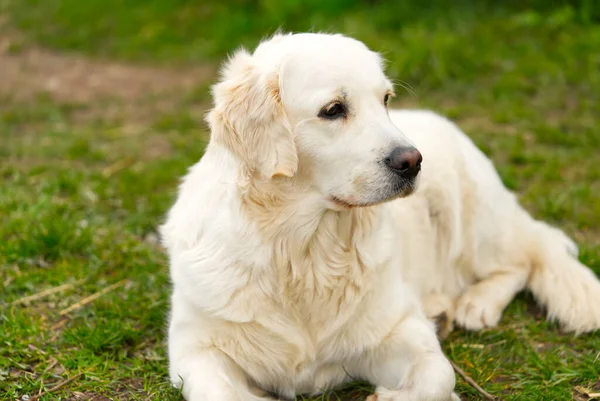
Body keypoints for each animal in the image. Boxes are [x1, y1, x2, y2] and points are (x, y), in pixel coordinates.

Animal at [159, 32, 600, 398]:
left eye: (386, 99)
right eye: (333, 109)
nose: (413, 161)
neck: (304, 251)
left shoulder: (397, 329)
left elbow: (438, 376)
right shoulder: (195, 350)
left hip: (473, 221)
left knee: (527, 255)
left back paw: (477, 304)